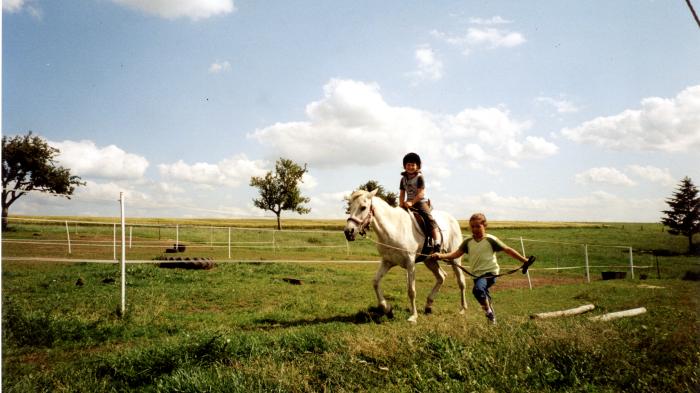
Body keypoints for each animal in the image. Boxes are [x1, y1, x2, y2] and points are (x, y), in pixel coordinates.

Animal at [344, 189, 468, 322]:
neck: (394, 229)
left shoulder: (410, 263)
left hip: (455, 258)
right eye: (350, 207)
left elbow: (411, 290)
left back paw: (463, 309)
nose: (348, 232)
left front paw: (413, 316)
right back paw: (428, 305)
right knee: (441, 277)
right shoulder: (387, 262)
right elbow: (376, 282)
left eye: (363, 207)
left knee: (461, 281)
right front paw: (387, 309)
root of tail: (453, 219)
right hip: (430, 260)